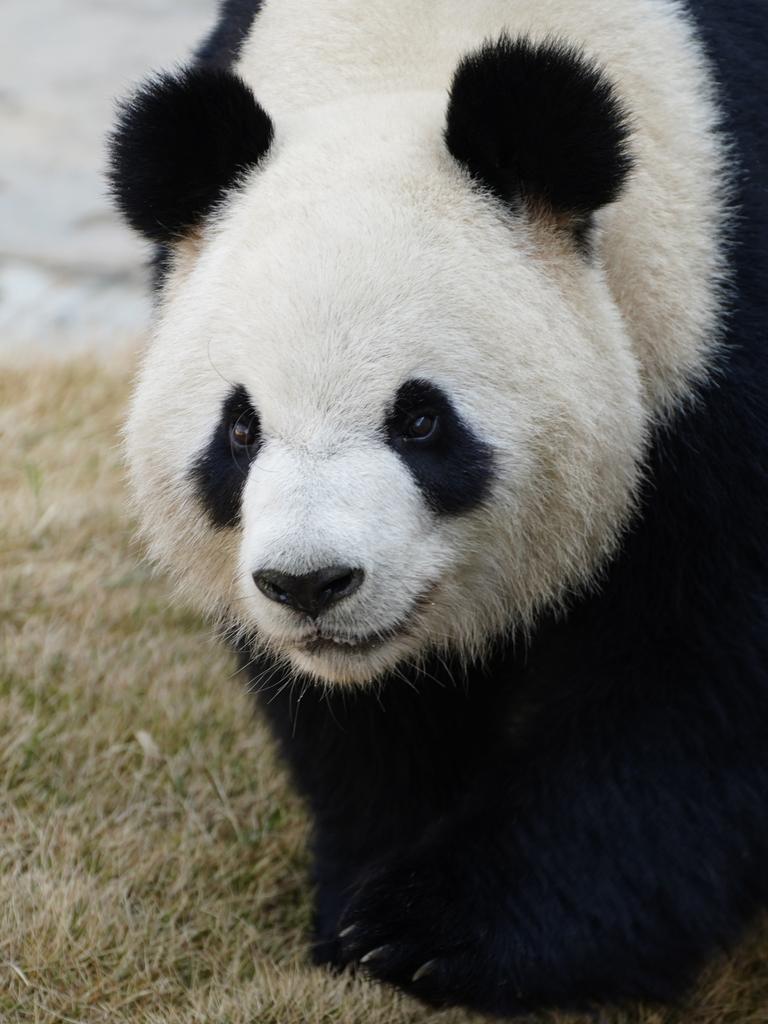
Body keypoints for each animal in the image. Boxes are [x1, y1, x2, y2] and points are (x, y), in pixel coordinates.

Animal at [108, 0, 768, 1015]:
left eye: (420, 418)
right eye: (241, 429)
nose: (310, 584)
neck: (403, 53)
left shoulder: (716, 323)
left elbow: (693, 689)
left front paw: (435, 933)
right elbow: (365, 727)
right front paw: (361, 895)